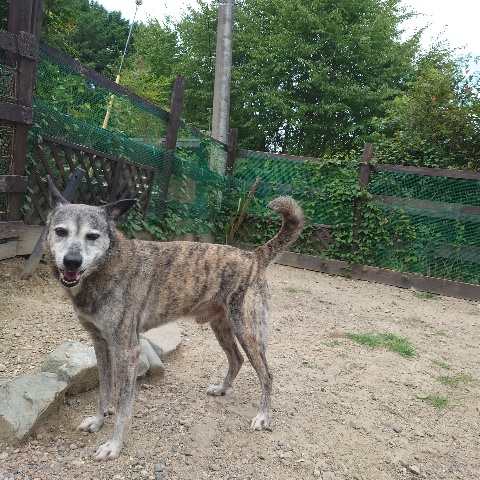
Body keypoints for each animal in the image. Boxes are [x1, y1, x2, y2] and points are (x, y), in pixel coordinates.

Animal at [43, 177, 304, 460]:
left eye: (93, 236)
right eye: (60, 231)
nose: (72, 261)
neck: (106, 266)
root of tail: (255, 256)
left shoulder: (127, 351)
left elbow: (123, 406)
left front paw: (114, 445)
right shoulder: (100, 344)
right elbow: (104, 391)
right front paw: (98, 421)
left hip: (248, 333)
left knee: (267, 375)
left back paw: (263, 416)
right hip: (222, 327)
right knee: (236, 360)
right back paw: (222, 389)